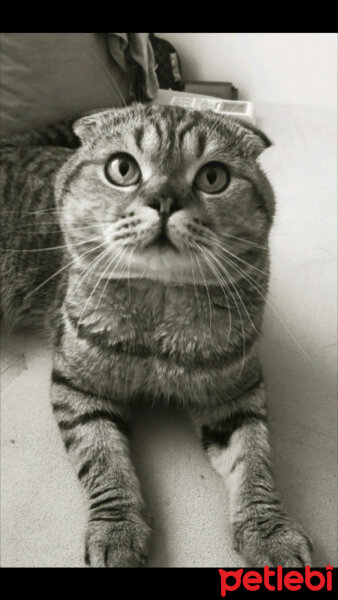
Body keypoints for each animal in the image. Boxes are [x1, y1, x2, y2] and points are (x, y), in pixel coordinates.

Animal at [0, 103, 312, 568]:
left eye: (213, 177)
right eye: (122, 168)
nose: (164, 201)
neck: (159, 309)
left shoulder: (237, 394)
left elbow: (255, 460)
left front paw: (269, 530)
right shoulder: (78, 385)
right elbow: (103, 458)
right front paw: (117, 527)